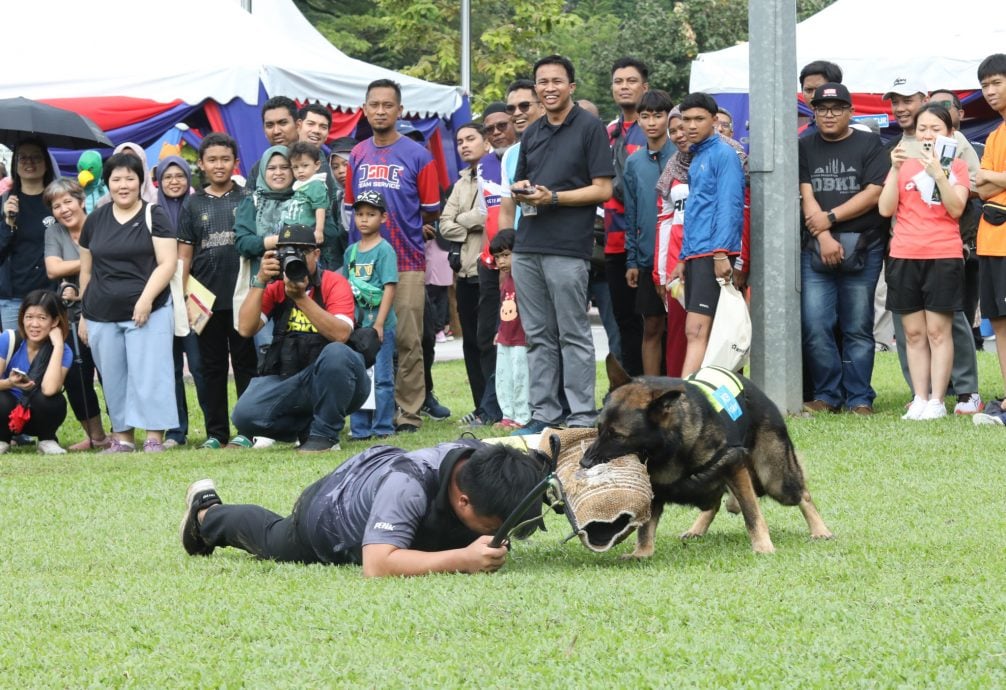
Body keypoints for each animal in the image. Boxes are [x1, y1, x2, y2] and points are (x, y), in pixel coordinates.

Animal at [583, 356, 832, 555]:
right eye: (598, 428)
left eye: (618, 436)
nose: (584, 463)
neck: (671, 446)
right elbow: (646, 527)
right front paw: (642, 553)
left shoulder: (733, 465)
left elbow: (752, 513)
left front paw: (763, 546)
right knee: (714, 503)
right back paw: (697, 528)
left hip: (775, 479)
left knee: (802, 494)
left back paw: (820, 530)